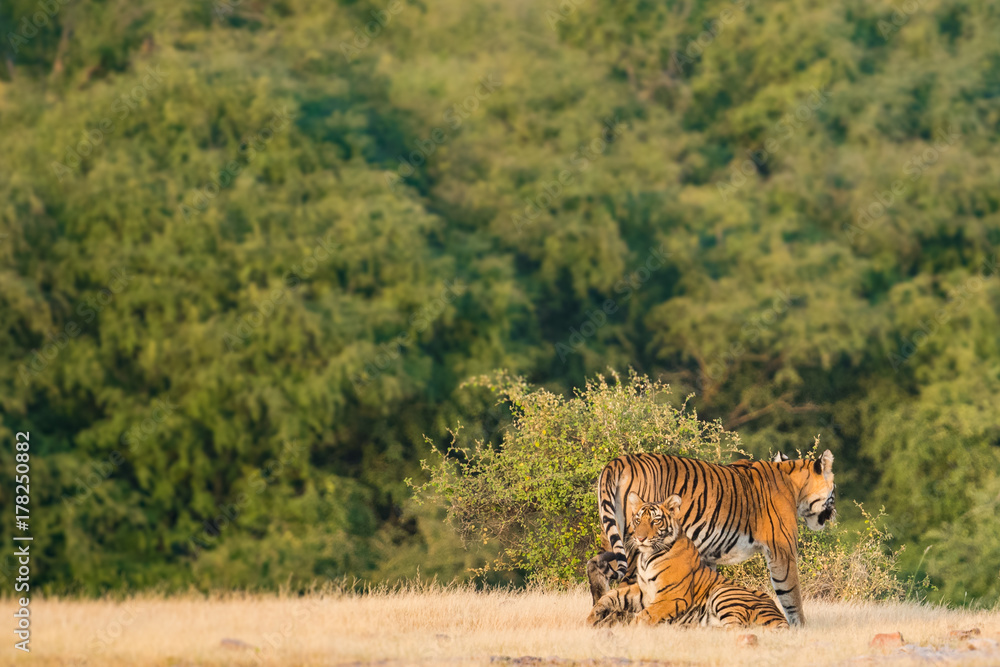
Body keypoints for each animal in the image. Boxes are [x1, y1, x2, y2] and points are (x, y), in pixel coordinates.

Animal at [587, 494, 790, 629]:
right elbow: (612, 596)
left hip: (724, 592)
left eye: (655, 521)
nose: (640, 538)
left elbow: (645, 614)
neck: (647, 558)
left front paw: (631, 628)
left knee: (735, 628)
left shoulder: (672, 595)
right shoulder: (643, 591)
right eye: (638, 520)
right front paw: (593, 616)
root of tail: (781, 619)